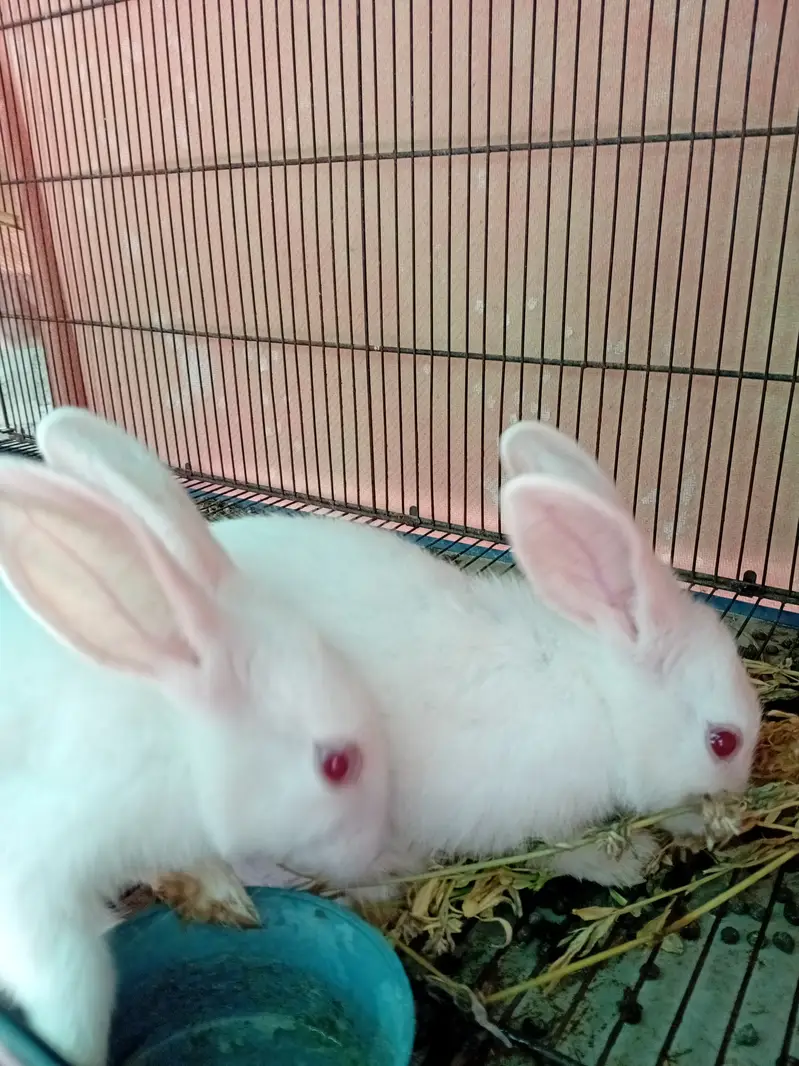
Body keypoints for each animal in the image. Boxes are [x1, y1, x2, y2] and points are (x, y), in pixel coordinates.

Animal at [0, 408, 390, 1066]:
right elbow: (75, 989)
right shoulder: (32, 880)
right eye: (336, 765)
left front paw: (231, 903)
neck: (176, 748)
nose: (377, 855)